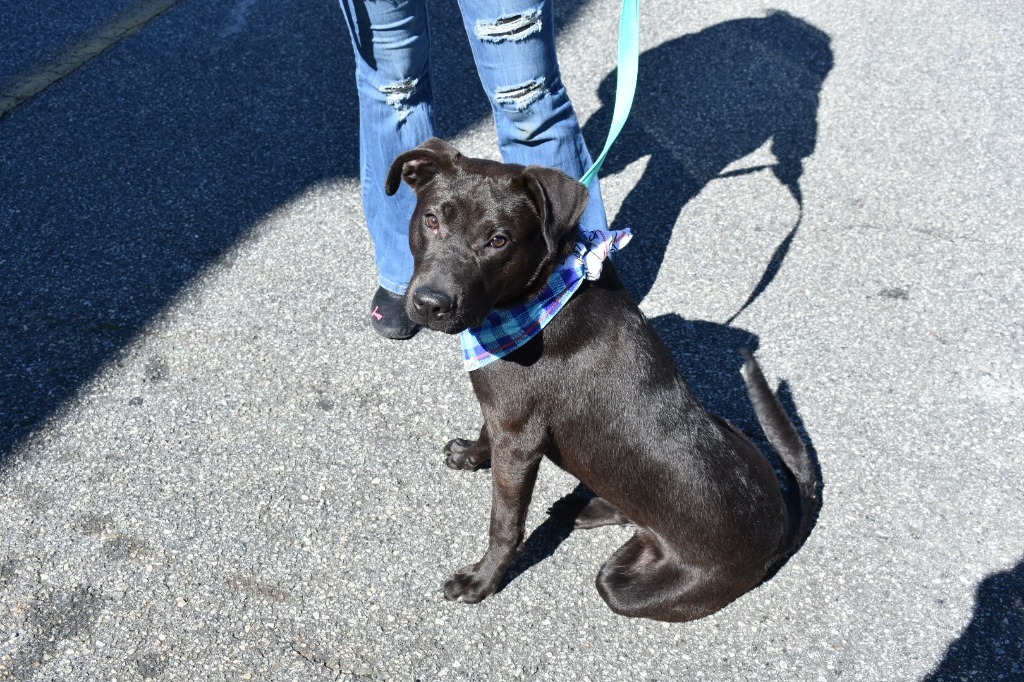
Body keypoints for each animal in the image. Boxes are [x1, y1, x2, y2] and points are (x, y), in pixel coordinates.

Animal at [382, 138, 815, 622]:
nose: (430, 303)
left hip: (627, 584)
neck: (538, 294)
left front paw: (482, 580)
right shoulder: (506, 414)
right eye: (432, 219)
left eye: (498, 240)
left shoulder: (518, 439)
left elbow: (505, 523)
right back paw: (581, 506)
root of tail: (781, 524)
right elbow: (485, 433)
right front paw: (472, 455)